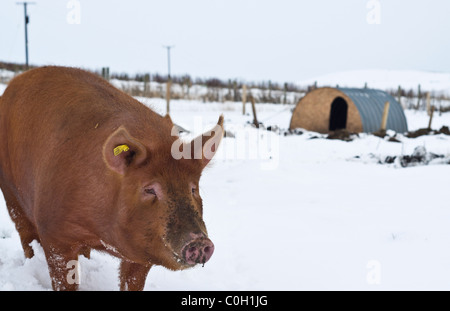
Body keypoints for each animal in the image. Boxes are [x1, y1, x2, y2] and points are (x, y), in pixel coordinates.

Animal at [0, 66, 224, 292]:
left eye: (193, 189)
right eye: (150, 189)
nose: (200, 242)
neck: (101, 232)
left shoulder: (142, 253)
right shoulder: (54, 232)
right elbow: (63, 278)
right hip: (11, 194)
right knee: (25, 234)